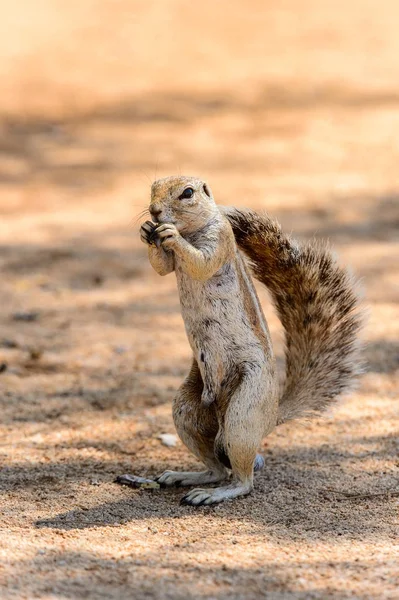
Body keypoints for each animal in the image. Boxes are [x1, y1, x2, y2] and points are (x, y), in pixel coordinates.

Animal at [139, 175, 364, 506]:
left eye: (188, 193)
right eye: (152, 187)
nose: (154, 211)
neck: (191, 230)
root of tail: (271, 416)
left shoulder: (220, 240)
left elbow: (201, 262)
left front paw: (171, 236)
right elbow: (162, 267)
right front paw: (146, 231)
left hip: (244, 412)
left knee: (242, 480)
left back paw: (215, 494)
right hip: (187, 409)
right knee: (216, 468)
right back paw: (185, 477)